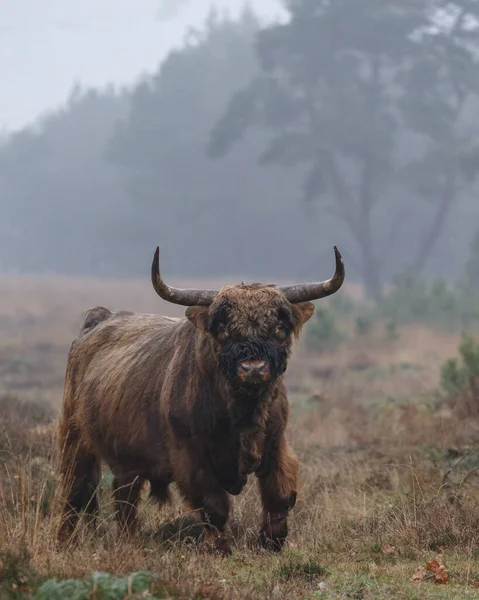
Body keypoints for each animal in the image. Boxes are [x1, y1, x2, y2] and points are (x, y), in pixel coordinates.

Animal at [57, 245, 344, 552]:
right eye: (223, 328)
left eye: (280, 327)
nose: (253, 368)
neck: (241, 414)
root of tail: (99, 317)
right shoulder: (190, 457)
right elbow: (213, 506)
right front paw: (220, 548)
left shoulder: (276, 445)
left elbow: (279, 495)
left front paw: (271, 543)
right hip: (74, 438)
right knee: (75, 492)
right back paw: (65, 542)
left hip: (126, 458)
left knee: (124, 498)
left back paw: (128, 541)